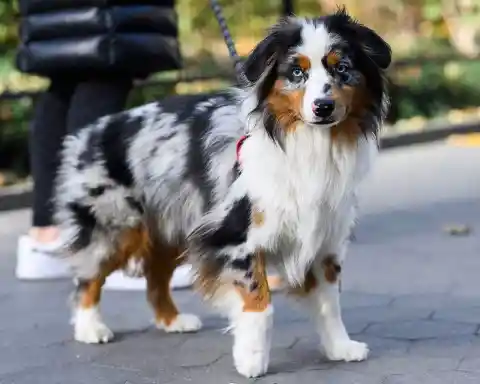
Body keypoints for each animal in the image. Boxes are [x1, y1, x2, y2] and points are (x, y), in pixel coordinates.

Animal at [55, 9, 390, 378]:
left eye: (341, 68)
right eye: (296, 72)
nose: (323, 106)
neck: (307, 144)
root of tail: (88, 133)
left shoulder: (325, 238)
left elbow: (330, 302)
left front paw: (339, 347)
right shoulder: (234, 236)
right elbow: (260, 303)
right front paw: (252, 359)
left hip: (173, 225)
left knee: (154, 276)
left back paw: (171, 320)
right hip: (116, 225)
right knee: (88, 278)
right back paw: (90, 327)